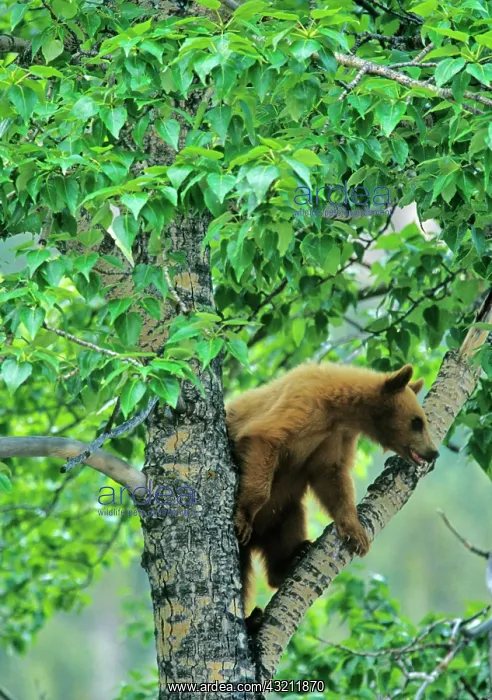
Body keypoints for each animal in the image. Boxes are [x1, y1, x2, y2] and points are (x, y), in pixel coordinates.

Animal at [225, 362, 439, 623]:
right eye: (417, 422)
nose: (433, 452)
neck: (338, 409)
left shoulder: (334, 439)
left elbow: (333, 478)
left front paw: (356, 533)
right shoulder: (300, 407)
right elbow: (265, 439)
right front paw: (243, 515)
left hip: (283, 512)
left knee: (289, 524)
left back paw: (293, 557)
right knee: (244, 571)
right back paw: (253, 617)